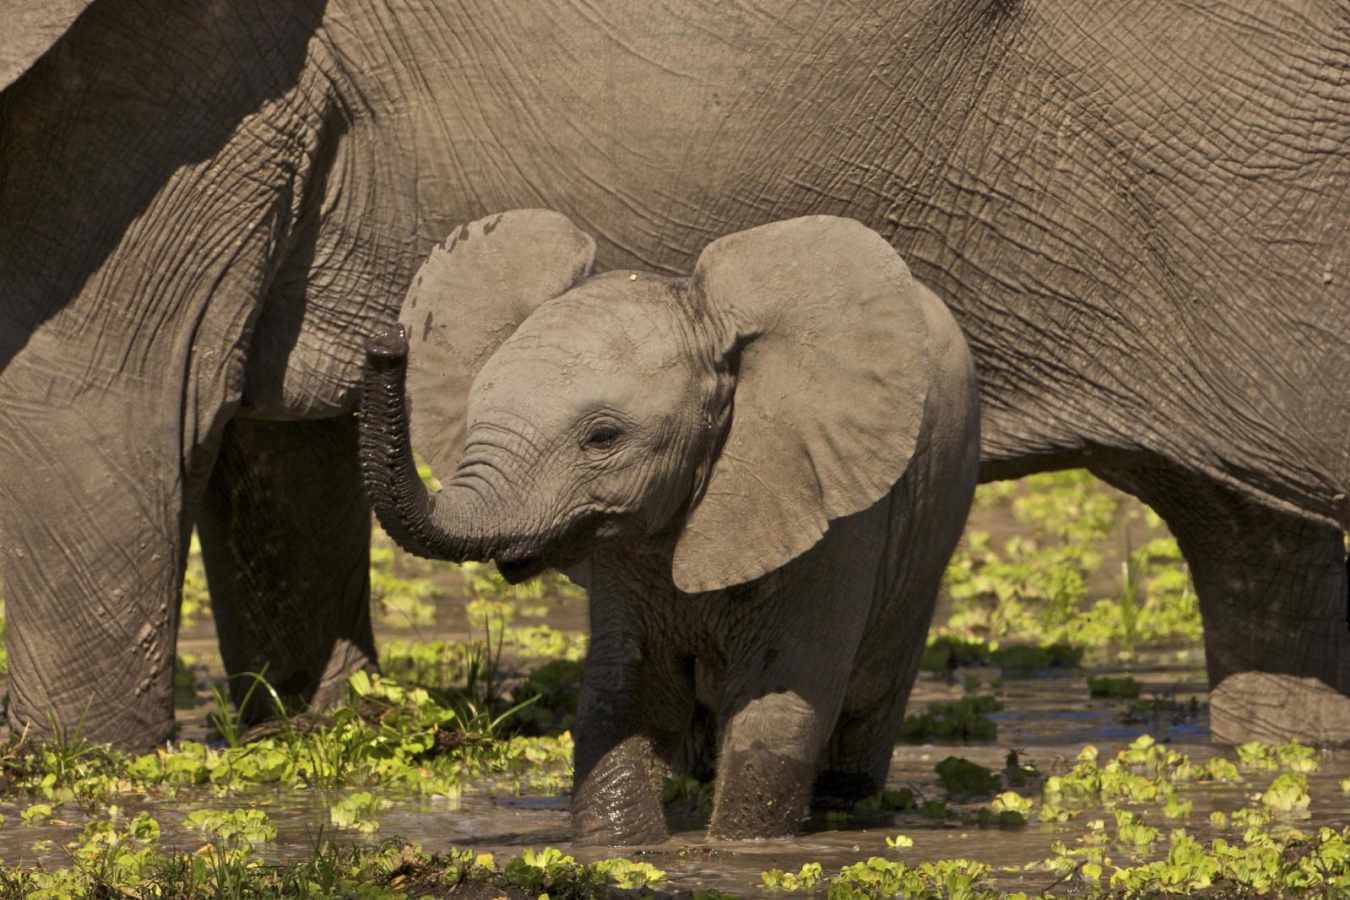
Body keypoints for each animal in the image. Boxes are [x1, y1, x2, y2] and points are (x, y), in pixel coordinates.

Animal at [356, 210, 982, 843]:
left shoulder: (834, 513)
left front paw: (738, 849)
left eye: (603, 438)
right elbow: (628, 691)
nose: (386, 343)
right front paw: (621, 846)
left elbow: (779, 704)